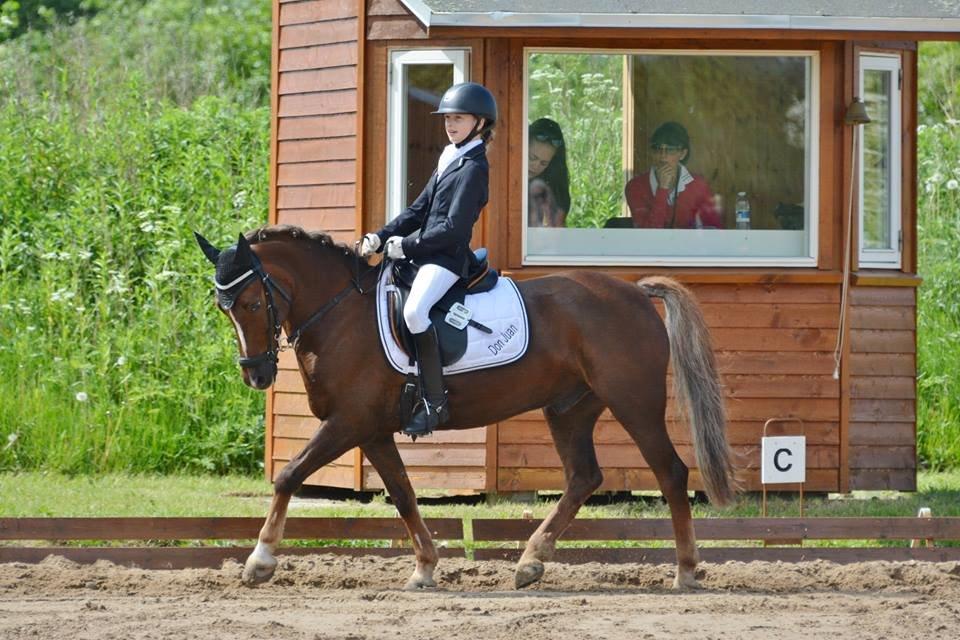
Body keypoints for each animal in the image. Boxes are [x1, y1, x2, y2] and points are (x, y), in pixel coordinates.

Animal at [195, 225, 736, 592]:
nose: (256, 374)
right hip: (569, 409)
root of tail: (635, 292)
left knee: (670, 472)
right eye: (223, 308)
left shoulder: (347, 423)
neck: (340, 314)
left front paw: (259, 561)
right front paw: (425, 568)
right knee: (584, 477)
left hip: (633, 402)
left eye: (250, 303)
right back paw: (530, 562)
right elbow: (404, 494)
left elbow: (289, 476)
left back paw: (686, 571)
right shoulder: (371, 430)